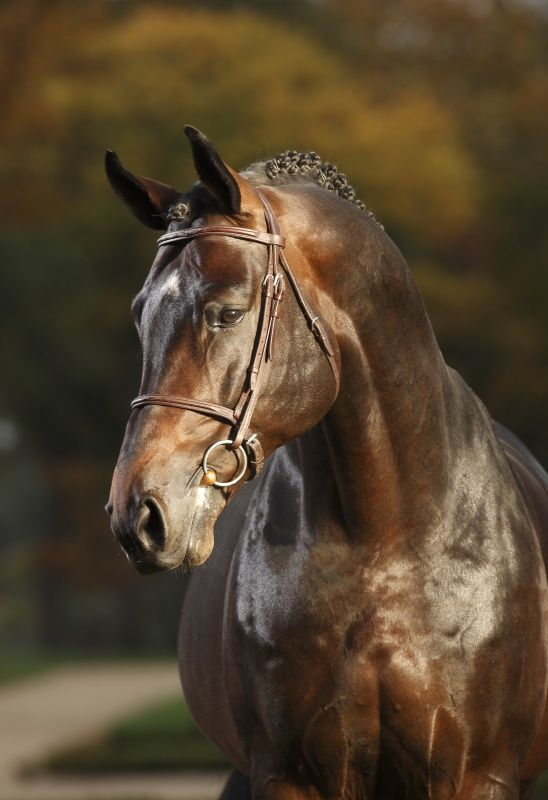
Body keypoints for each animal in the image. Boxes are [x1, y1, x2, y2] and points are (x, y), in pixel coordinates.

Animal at [105, 128, 548, 796]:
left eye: (228, 311)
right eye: (140, 314)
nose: (139, 513)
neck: (386, 535)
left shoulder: (479, 775)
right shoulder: (289, 774)